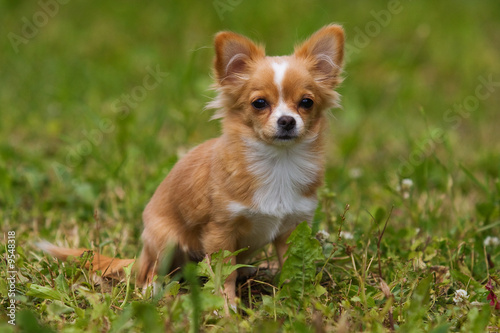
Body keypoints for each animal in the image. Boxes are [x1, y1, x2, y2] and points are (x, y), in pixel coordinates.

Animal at [40, 24, 344, 308]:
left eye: (306, 102)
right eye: (259, 103)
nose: (287, 121)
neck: (278, 162)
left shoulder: (293, 227)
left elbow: (293, 266)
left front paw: (299, 299)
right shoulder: (220, 231)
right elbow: (224, 272)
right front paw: (227, 306)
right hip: (165, 239)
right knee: (150, 273)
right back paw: (153, 290)